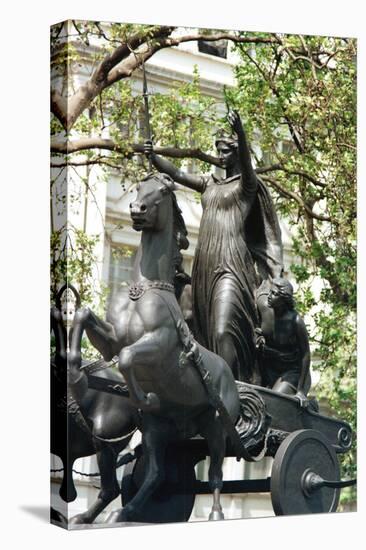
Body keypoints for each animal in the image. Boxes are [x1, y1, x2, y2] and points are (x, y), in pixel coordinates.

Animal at [84, 175, 242, 524]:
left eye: (163, 191)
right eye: (137, 187)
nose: (136, 209)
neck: (143, 291)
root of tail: (230, 375)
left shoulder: (157, 343)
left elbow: (127, 357)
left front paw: (144, 397)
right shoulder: (113, 338)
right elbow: (83, 316)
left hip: (215, 426)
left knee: (216, 472)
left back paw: (216, 513)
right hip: (159, 429)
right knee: (157, 473)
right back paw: (123, 512)